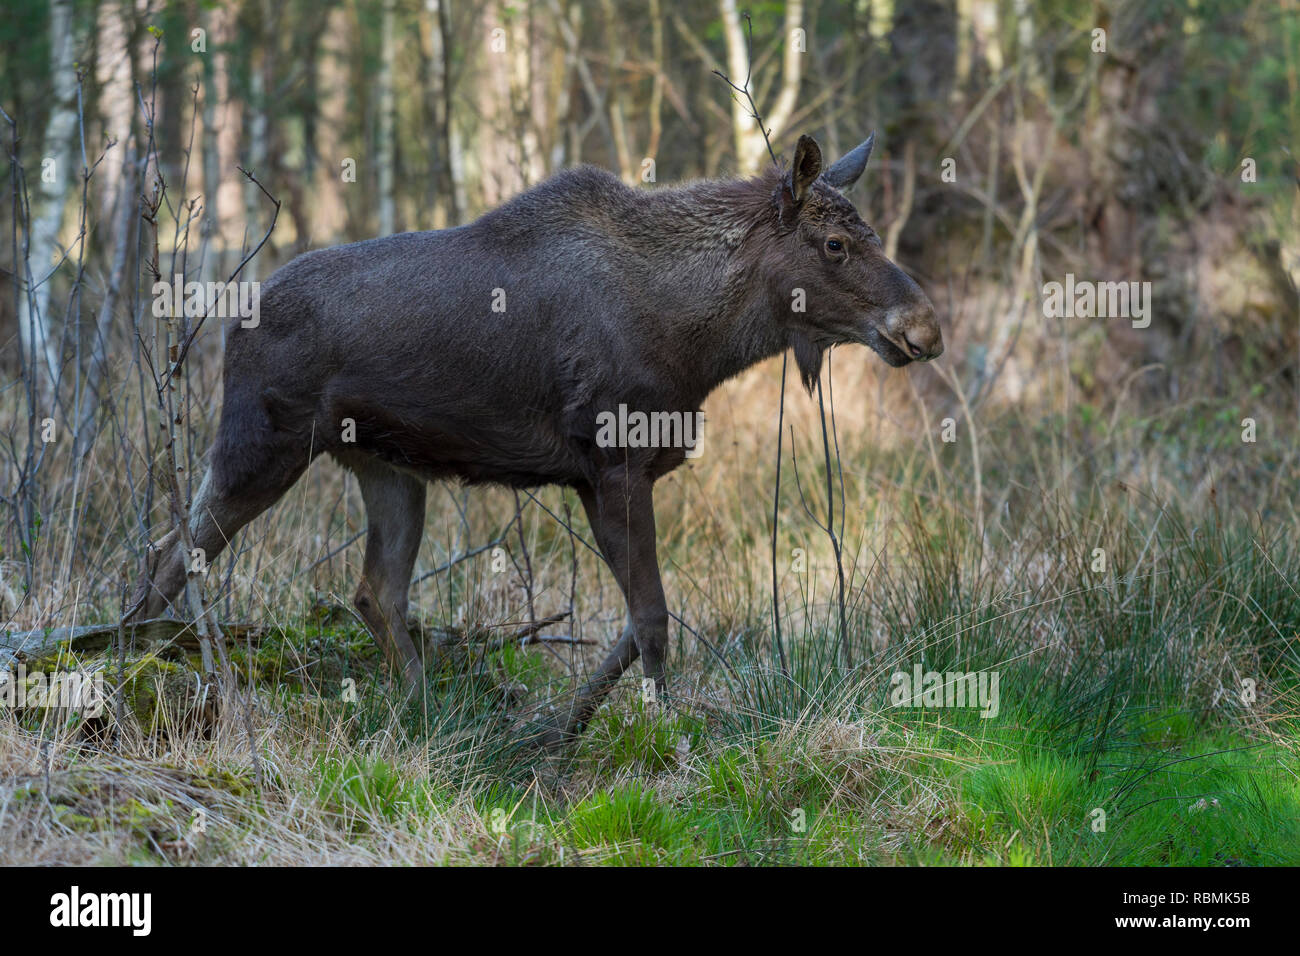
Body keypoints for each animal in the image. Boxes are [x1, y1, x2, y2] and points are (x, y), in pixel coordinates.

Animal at [131, 132, 941, 749]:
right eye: (834, 244)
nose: (924, 329)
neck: (701, 342)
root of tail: (232, 318)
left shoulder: (601, 478)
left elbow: (635, 621)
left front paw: (562, 733)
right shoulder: (614, 463)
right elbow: (653, 621)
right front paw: (666, 739)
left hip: (388, 467)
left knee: (373, 591)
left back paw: (426, 711)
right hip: (262, 443)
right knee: (174, 552)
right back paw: (138, 665)